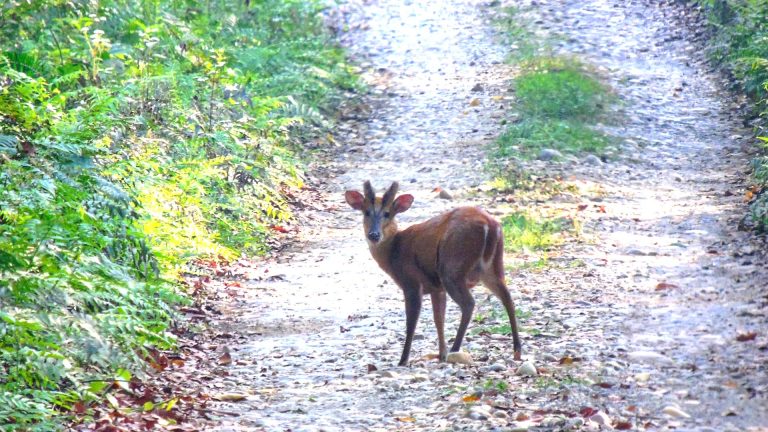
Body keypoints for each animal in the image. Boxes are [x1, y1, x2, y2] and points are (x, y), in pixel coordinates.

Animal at [344, 181, 522, 366]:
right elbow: (438, 319)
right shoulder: (436, 288)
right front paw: (441, 355)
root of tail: (490, 225)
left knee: (469, 303)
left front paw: (403, 360)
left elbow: (412, 321)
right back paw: (517, 350)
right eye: (366, 212)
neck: (394, 251)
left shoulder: (411, 282)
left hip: (452, 267)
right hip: (493, 267)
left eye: (387, 213)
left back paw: (455, 349)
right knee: (508, 298)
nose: (374, 235)